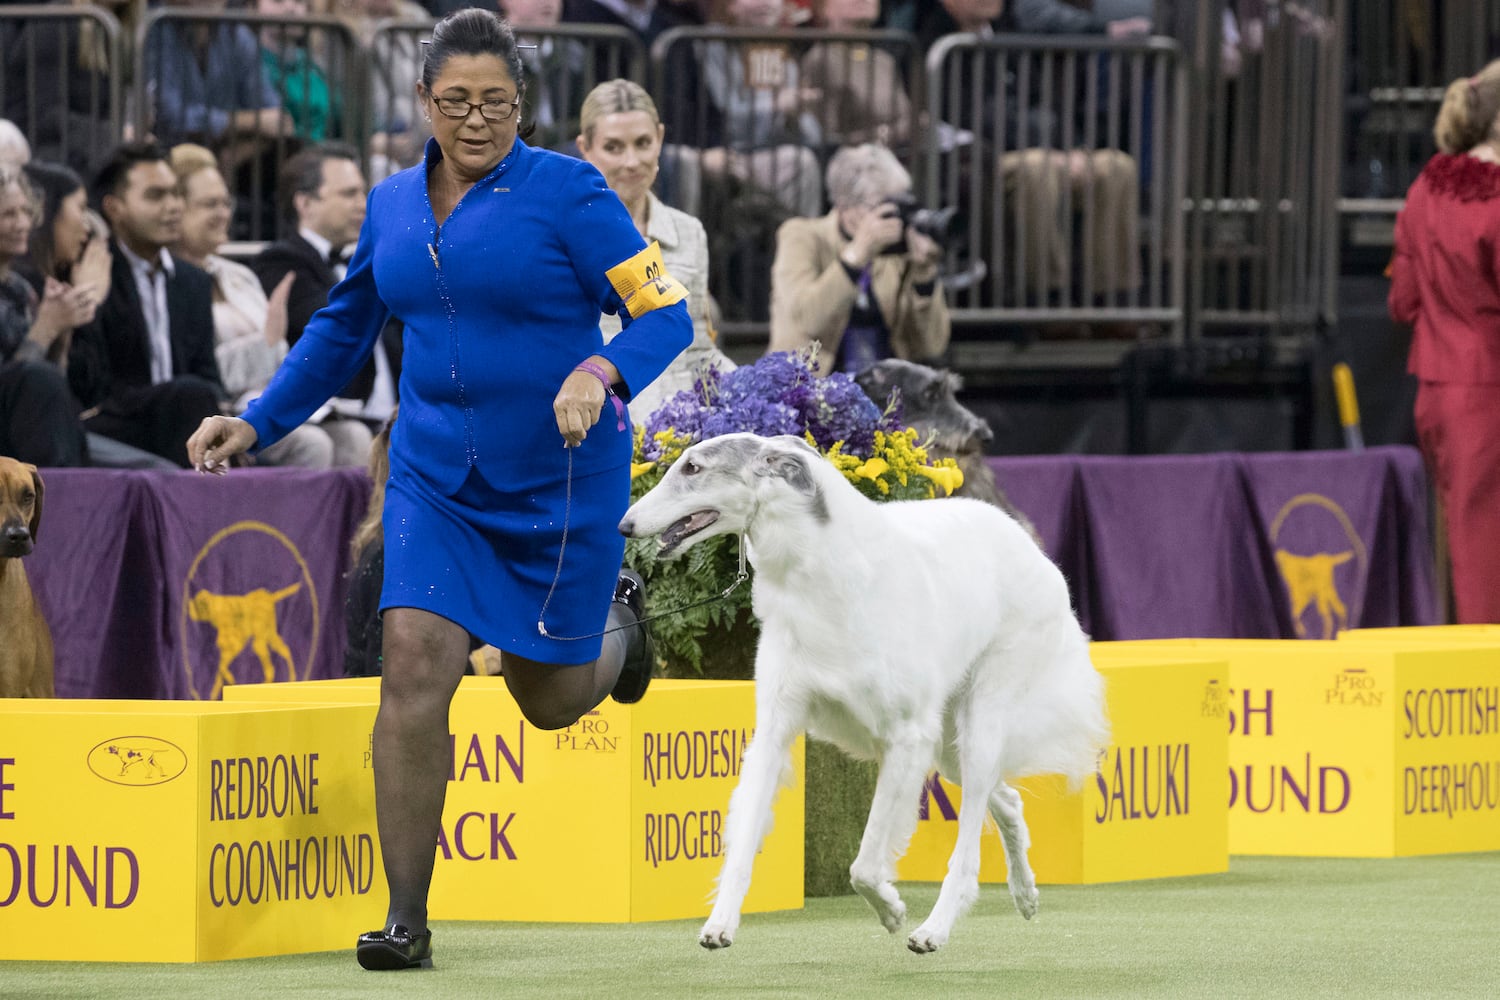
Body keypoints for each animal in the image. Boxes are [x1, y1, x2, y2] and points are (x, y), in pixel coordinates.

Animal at [615, 434, 1110, 953]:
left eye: (693, 467)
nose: (624, 525)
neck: (821, 577)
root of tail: (1024, 540)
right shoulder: (775, 729)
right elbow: (745, 841)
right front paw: (719, 924)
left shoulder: (905, 738)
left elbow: (865, 865)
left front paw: (891, 910)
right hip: (947, 745)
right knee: (1009, 800)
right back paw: (1025, 894)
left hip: (977, 727)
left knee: (970, 845)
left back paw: (933, 929)